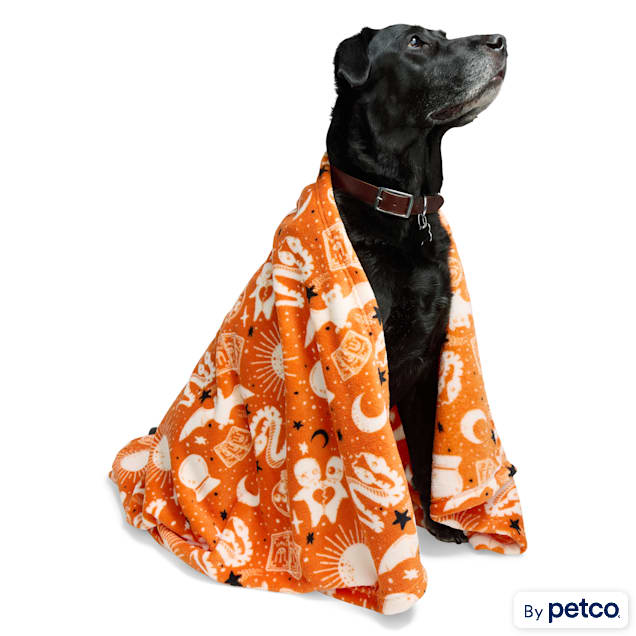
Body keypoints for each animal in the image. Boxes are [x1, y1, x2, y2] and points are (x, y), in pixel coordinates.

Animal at [326, 24, 507, 543]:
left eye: (442, 34)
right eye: (415, 42)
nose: (500, 40)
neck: (405, 210)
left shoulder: (430, 360)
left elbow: (427, 452)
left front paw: (439, 523)